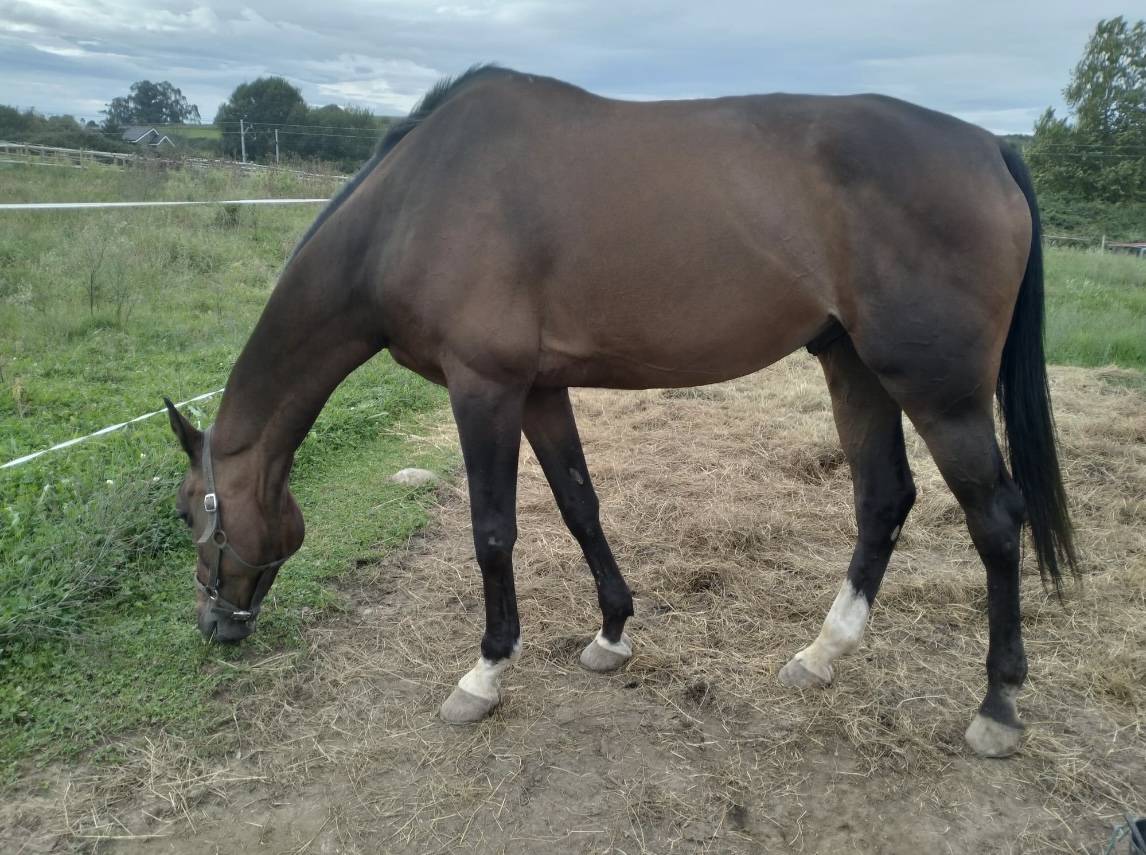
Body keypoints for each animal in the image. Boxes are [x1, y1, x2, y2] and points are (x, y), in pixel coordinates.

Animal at [164, 65, 1077, 758]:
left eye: (185, 513)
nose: (212, 624)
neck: (414, 204)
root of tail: (990, 147)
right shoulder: (538, 388)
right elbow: (579, 504)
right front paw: (611, 633)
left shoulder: (483, 387)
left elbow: (492, 531)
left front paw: (485, 673)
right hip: (854, 365)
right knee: (884, 497)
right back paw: (820, 655)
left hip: (938, 389)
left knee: (996, 519)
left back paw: (997, 707)